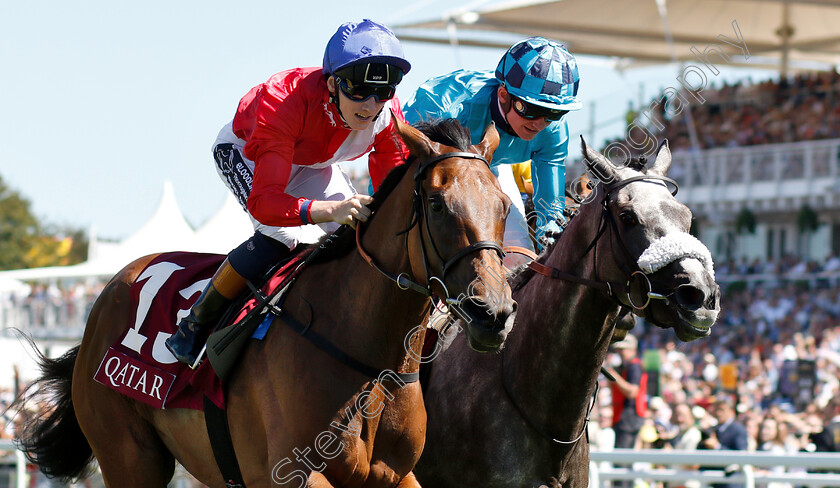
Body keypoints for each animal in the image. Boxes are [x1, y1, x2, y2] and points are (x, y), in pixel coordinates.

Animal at [19, 118, 516, 488]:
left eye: (504, 205)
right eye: (436, 204)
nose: (492, 312)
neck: (368, 357)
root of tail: (109, 290)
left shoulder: (397, 475)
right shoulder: (291, 473)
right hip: (128, 456)